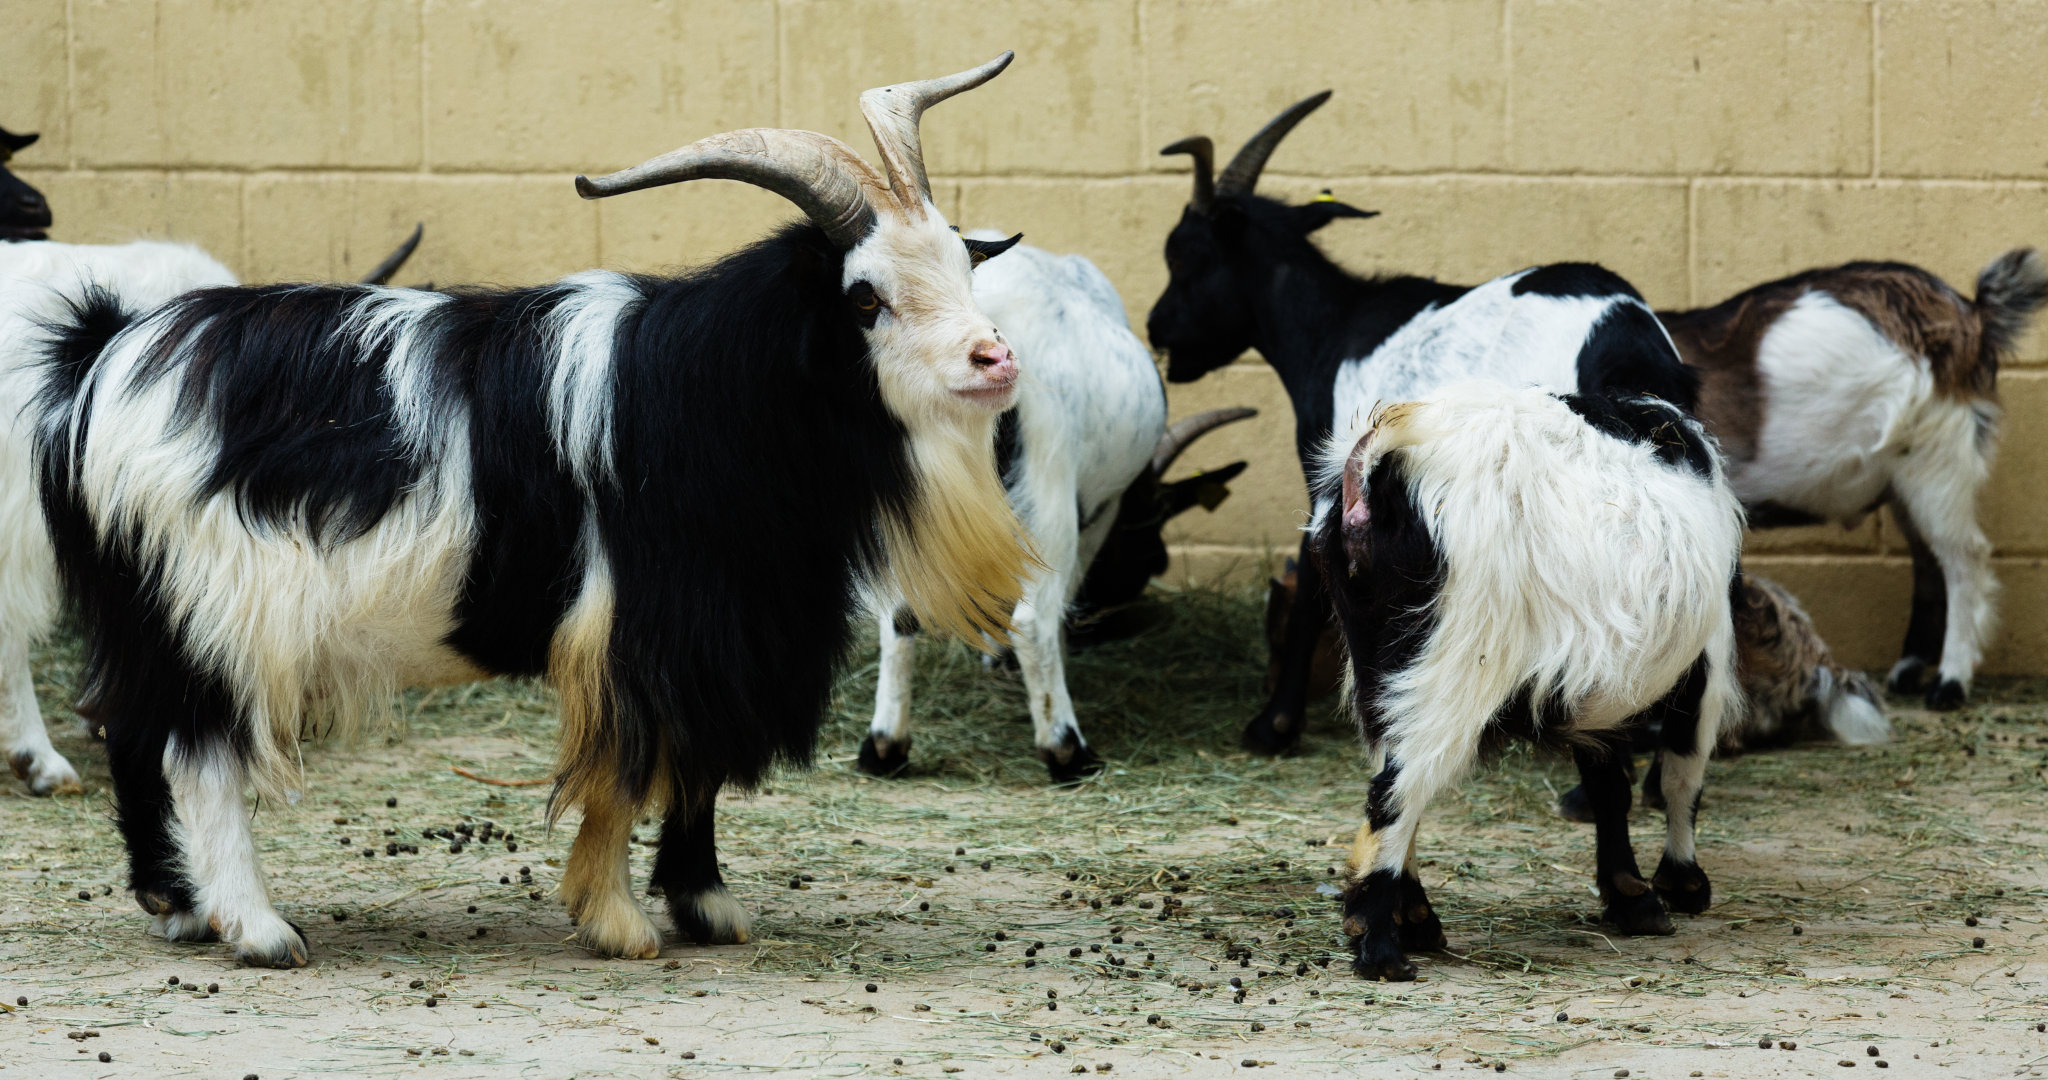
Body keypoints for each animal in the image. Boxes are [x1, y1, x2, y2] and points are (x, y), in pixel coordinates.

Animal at [860, 236, 1254, 780]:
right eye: (1146, 544)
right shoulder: (1096, 512)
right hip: (1049, 479)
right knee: (1034, 618)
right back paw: (1066, 749)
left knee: (900, 611)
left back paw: (885, 746)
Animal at [1320, 381, 1742, 982]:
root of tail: (1385, 456)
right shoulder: (1704, 663)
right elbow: (1682, 774)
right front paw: (1681, 884)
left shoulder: (1597, 685)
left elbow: (1608, 783)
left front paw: (1632, 896)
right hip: (1457, 660)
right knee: (1396, 791)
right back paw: (1380, 949)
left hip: (1383, 669)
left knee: (1393, 774)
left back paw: (1416, 920)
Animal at [1661, 252, 2048, 708]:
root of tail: (1972, 313)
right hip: (1906, 480)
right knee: (1928, 560)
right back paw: (1907, 671)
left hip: (1939, 455)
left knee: (1963, 558)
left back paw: (1949, 682)